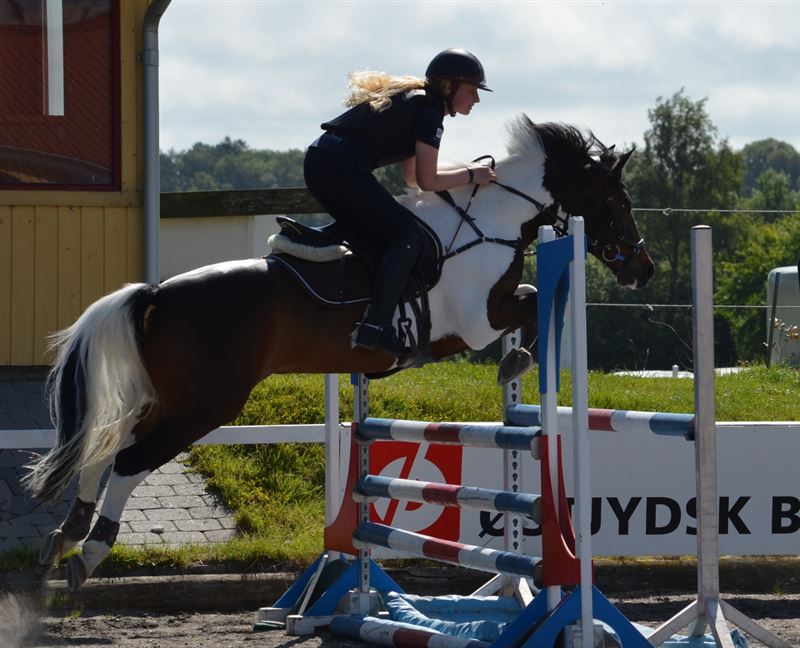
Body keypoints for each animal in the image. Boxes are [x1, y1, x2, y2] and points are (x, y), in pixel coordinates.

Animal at [24, 115, 654, 590]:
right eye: (620, 200)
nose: (643, 269)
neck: (489, 223)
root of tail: (157, 293)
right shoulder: (475, 323)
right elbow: (533, 302)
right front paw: (518, 360)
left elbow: (530, 301)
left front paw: (516, 362)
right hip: (206, 405)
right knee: (130, 460)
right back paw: (90, 552)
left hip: (169, 400)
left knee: (107, 447)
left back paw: (66, 534)